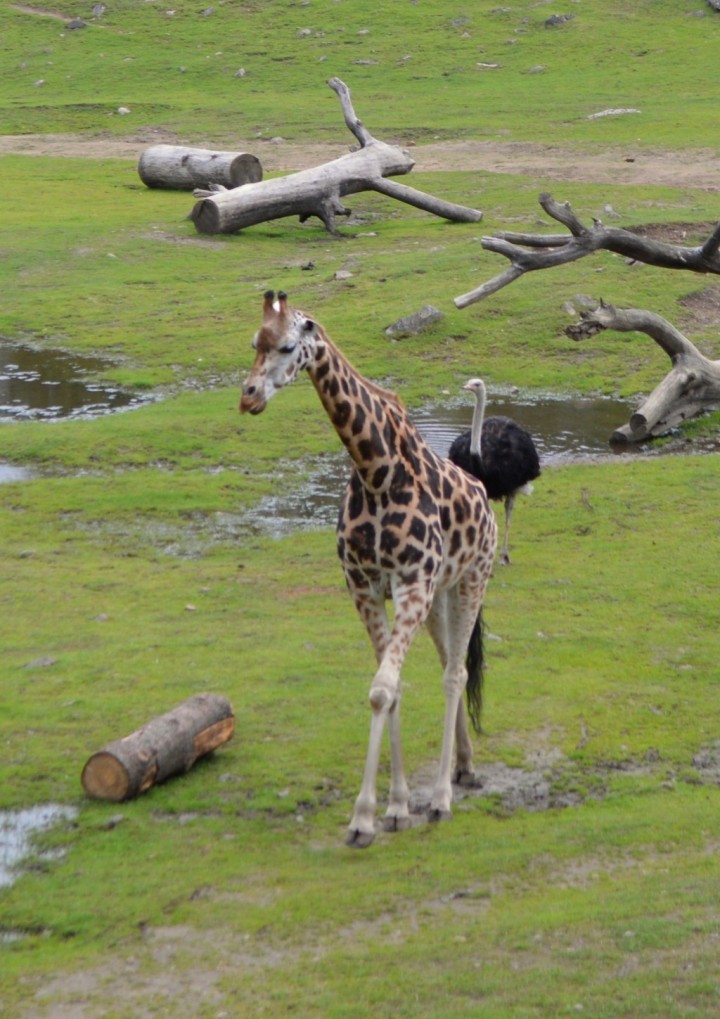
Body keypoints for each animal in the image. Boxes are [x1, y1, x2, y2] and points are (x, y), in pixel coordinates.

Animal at [239, 291, 499, 847]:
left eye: (287, 345)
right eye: (254, 342)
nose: (248, 397)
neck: (374, 470)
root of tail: (483, 494)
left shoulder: (411, 585)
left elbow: (381, 690)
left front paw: (365, 818)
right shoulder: (365, 588)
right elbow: (392, 688)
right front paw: (395, 808)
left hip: (472, 578)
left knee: (455, 674)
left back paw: (442, 797)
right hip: (438, 596)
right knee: (450, 665)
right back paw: (463, 766)